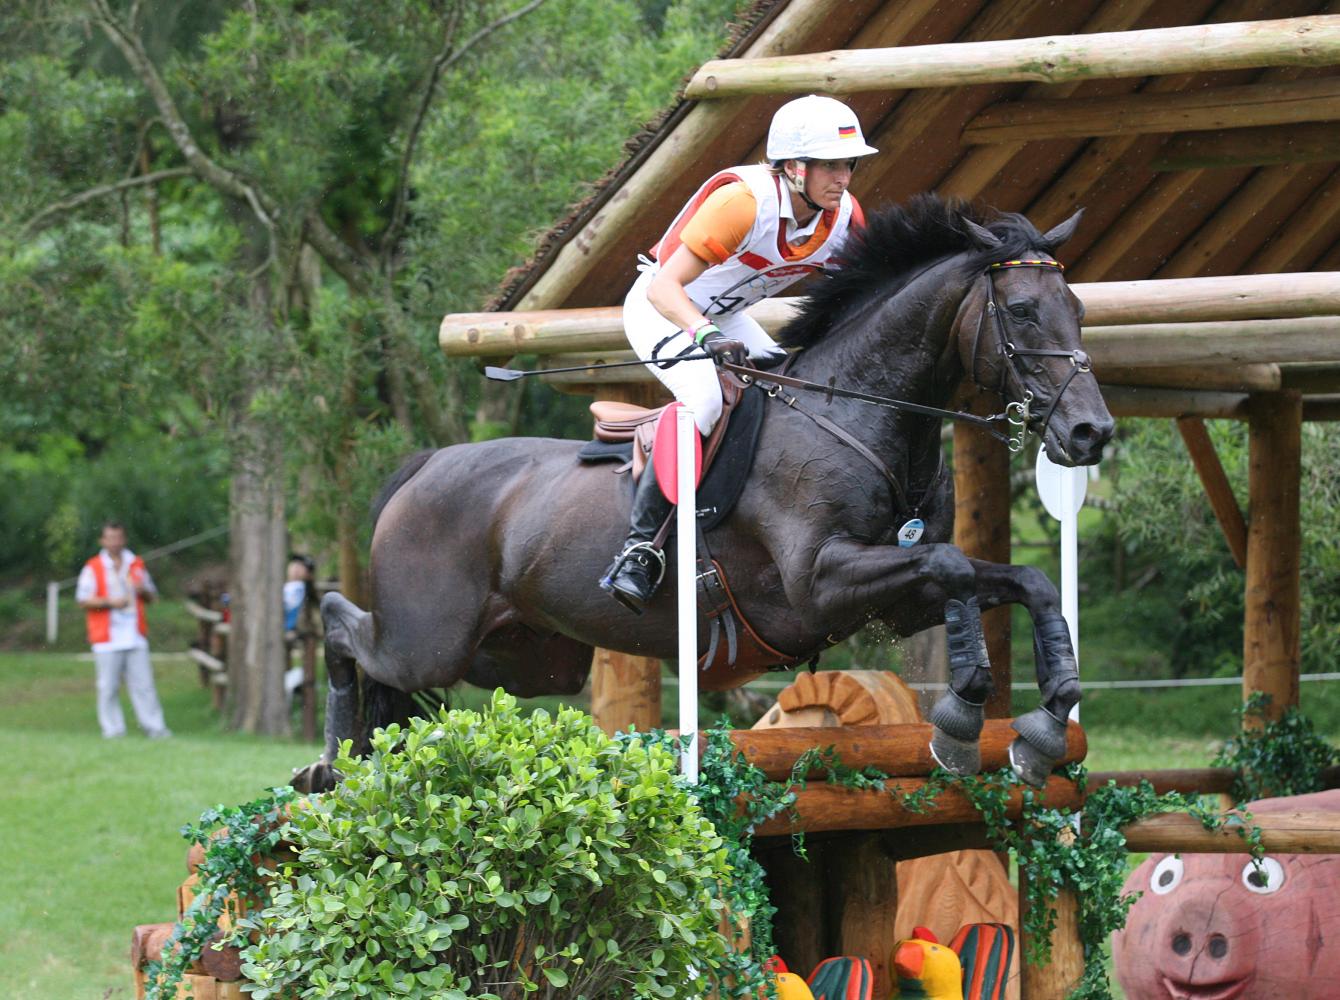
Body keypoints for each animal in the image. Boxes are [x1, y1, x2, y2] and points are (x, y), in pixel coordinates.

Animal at [298, 194, 1114, 788]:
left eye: (1078, 309)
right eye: (1020, 311)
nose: (1090, 434)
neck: (857, 414)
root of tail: (424, 466)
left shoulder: (894, 598)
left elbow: (1020, 580)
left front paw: (1043, 731)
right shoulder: (820, 583)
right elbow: (952, 570)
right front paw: (962, 716)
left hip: (524, 659)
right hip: (430, 639)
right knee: (344, 628)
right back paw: (329, 766)